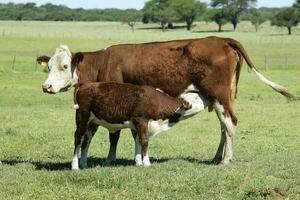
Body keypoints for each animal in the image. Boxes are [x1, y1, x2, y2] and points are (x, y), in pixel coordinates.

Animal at [71, 81, 206, 169]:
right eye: (196, 98)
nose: (205, 96)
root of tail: (85, 84)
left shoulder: (139, 125)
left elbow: (139, 141)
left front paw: (139, 162)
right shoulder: (141, 120)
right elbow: (144, 141)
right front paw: (146, 163)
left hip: (92, 123)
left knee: (86, 141)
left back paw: (83, 164)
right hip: (82, 116)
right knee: (78, 138)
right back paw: (75, 165)